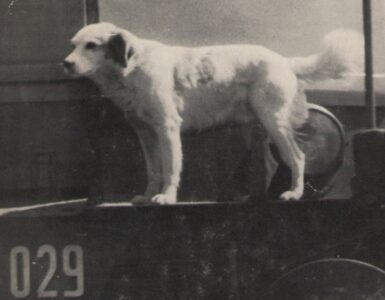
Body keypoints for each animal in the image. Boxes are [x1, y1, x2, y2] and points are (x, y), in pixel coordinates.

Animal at [63, 22, 360, 203]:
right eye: (73, 45)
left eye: (91, 46)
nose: (66, 64)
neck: (133, 67)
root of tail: (283, 60)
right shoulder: (146, 134)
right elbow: (153, 170)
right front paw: (147, 197)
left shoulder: (168, 128)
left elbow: (170, 167)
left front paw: (167, 197)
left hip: (275, 122)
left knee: (297, 157)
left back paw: (294, 193)